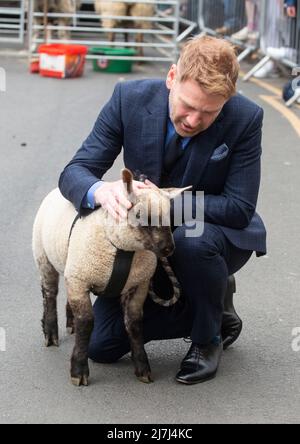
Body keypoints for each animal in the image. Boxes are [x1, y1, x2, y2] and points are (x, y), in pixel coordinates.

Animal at [31, 168, 189, 386]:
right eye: (139, 215)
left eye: (170, 215)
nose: (168, 249)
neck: (122, 250)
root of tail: (55, 190)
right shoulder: (80, 280)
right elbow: (86, 323)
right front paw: (79, 371)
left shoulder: (138, 284)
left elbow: (134, 323)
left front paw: (142, 368)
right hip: (43, 256)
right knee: (49, 294)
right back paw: (50, 333)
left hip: (69, 266)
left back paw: (69, 322)